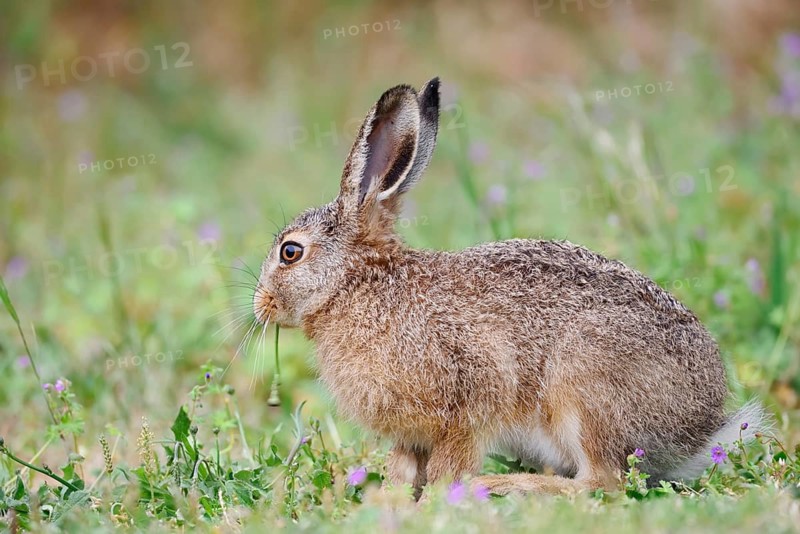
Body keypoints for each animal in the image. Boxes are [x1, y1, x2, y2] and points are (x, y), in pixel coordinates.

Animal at [253, 77, 766, 497]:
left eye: (290, 252)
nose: (260, 305)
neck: (358, 287)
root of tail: (700, 431)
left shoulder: (468, 403)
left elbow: (449, 465)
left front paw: (439, 499)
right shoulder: (410, 434)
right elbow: (403, 469)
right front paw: (389, 501)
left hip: (583, 389)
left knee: (602, 481)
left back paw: (506, 485)